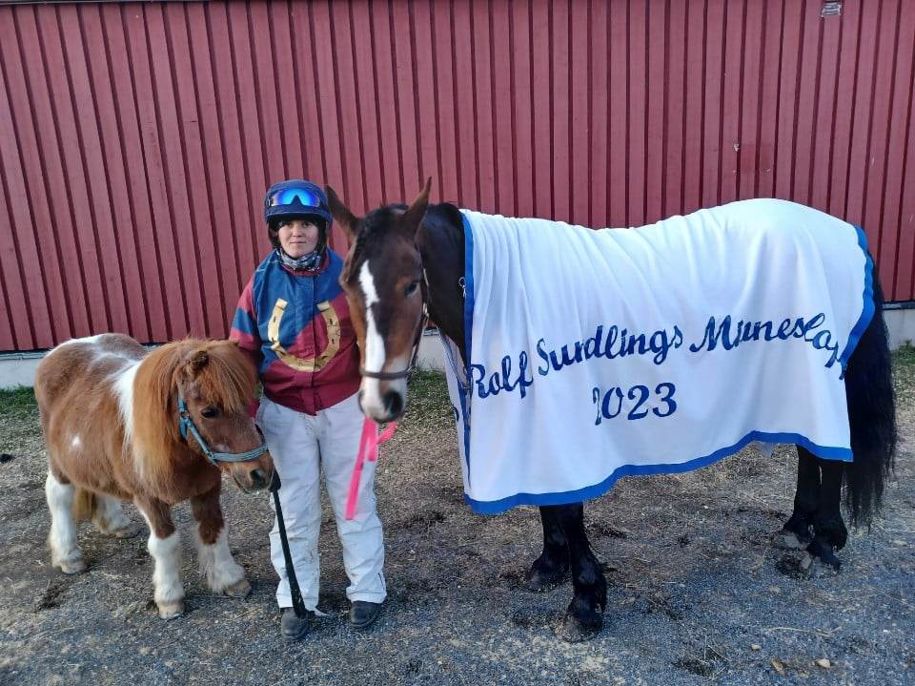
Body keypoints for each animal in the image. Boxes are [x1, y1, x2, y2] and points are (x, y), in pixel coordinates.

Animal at [34, 334, 274, 619]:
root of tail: (61, 348)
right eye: (208, 411)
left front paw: (229, 579)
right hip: (60, 465)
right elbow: (165, 544)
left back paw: (117, 525)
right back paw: (69, 557)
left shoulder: (207, 489)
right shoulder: (150, 499)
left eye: (247, 401)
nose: (260, 473)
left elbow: (213, 529)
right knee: (58, 497)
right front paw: (170, 599)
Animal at [326, 181, 896, 642]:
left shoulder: (562, 416)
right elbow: (548, 501)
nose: (378, 402)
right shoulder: (535, 419)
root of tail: (844, 232)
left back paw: (823, 545)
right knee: (809, 453)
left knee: (831, 457)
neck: (491, 286)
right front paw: (549, 567)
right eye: (347, 285)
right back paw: (799, 527)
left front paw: (585, 603)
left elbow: (568, 508)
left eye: (410, 284)